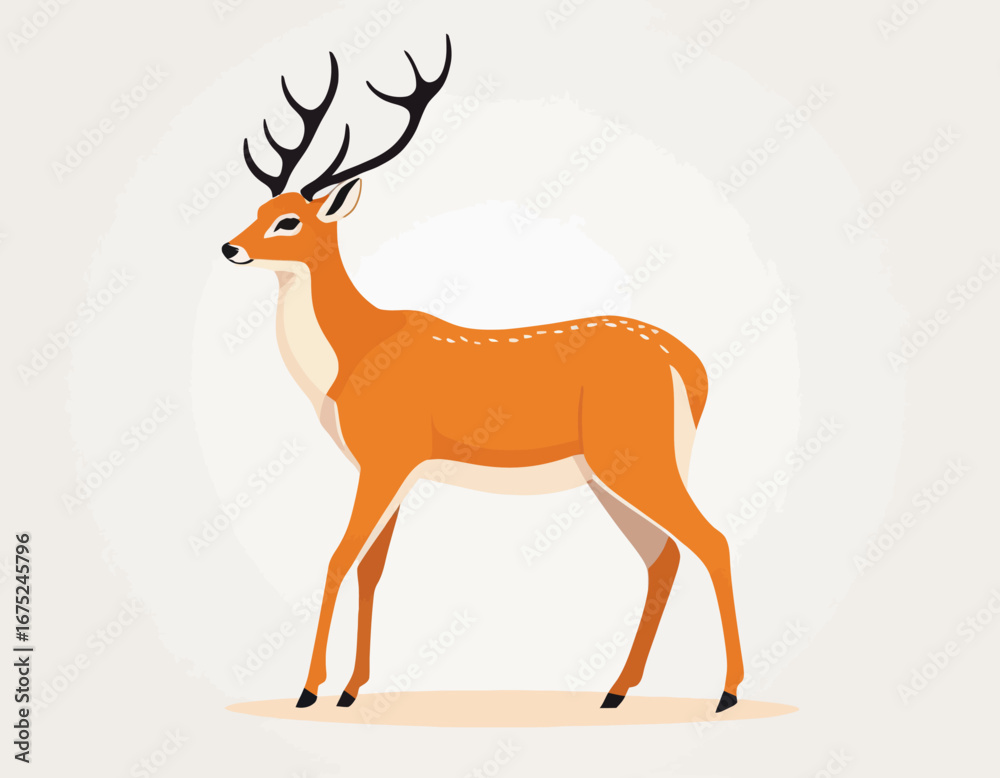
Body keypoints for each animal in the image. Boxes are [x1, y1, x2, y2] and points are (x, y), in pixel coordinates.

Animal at [221, 36, 744, 714]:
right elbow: (371, 567)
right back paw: (615, 691)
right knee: (664, 555)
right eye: (260, 206)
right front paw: (352, 689)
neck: (352, 357)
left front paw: (311, 689)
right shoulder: (395, 468)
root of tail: (690, 366)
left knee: (711, 541)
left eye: (290, 221)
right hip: (612, 468)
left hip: (635, 451)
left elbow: (338, 559)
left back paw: (727, 692)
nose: (229, 247)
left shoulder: (387, 454)